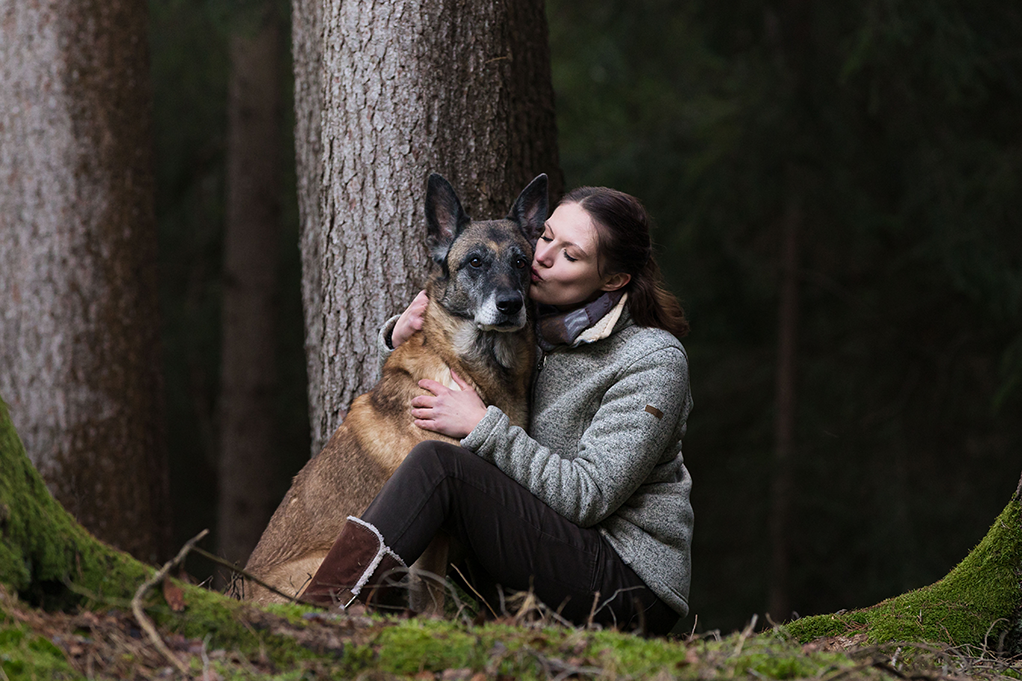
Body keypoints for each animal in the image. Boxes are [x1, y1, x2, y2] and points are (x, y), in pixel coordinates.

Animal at [240, 170, 547, 605]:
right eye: (475, 262)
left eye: (521, 262)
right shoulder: (438, 533)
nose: (510, 304)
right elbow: (431, 597)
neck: (477, 366)